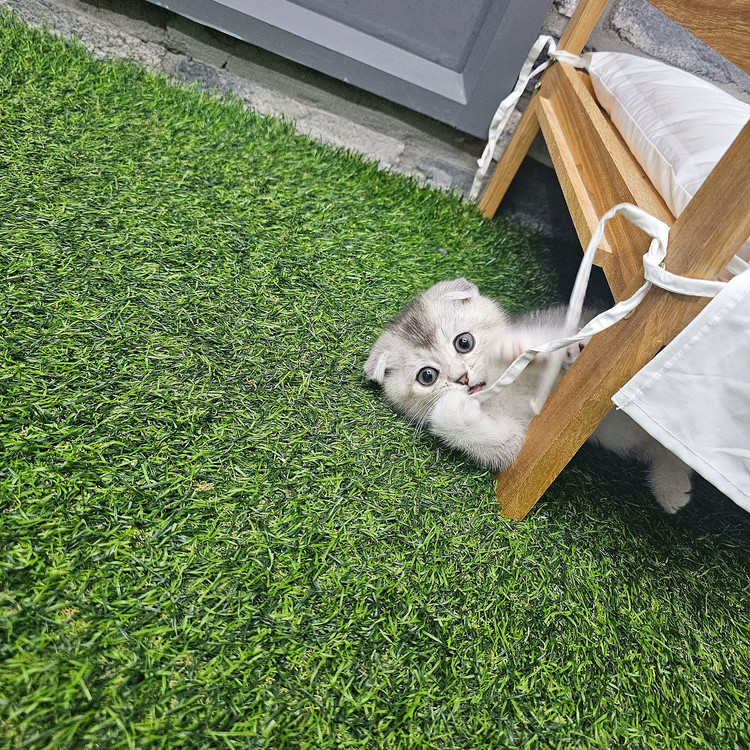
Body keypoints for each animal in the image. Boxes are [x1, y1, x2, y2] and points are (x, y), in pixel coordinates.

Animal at [364, 277, 693, 514]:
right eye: (427, 376)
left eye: (464, 342)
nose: (462, 379)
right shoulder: (518, 432)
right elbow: (500, 444)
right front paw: (452, 407)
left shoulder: (555, 327)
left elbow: (551, 343)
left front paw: (516, 348)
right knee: (667, 446)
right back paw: (672, 487)